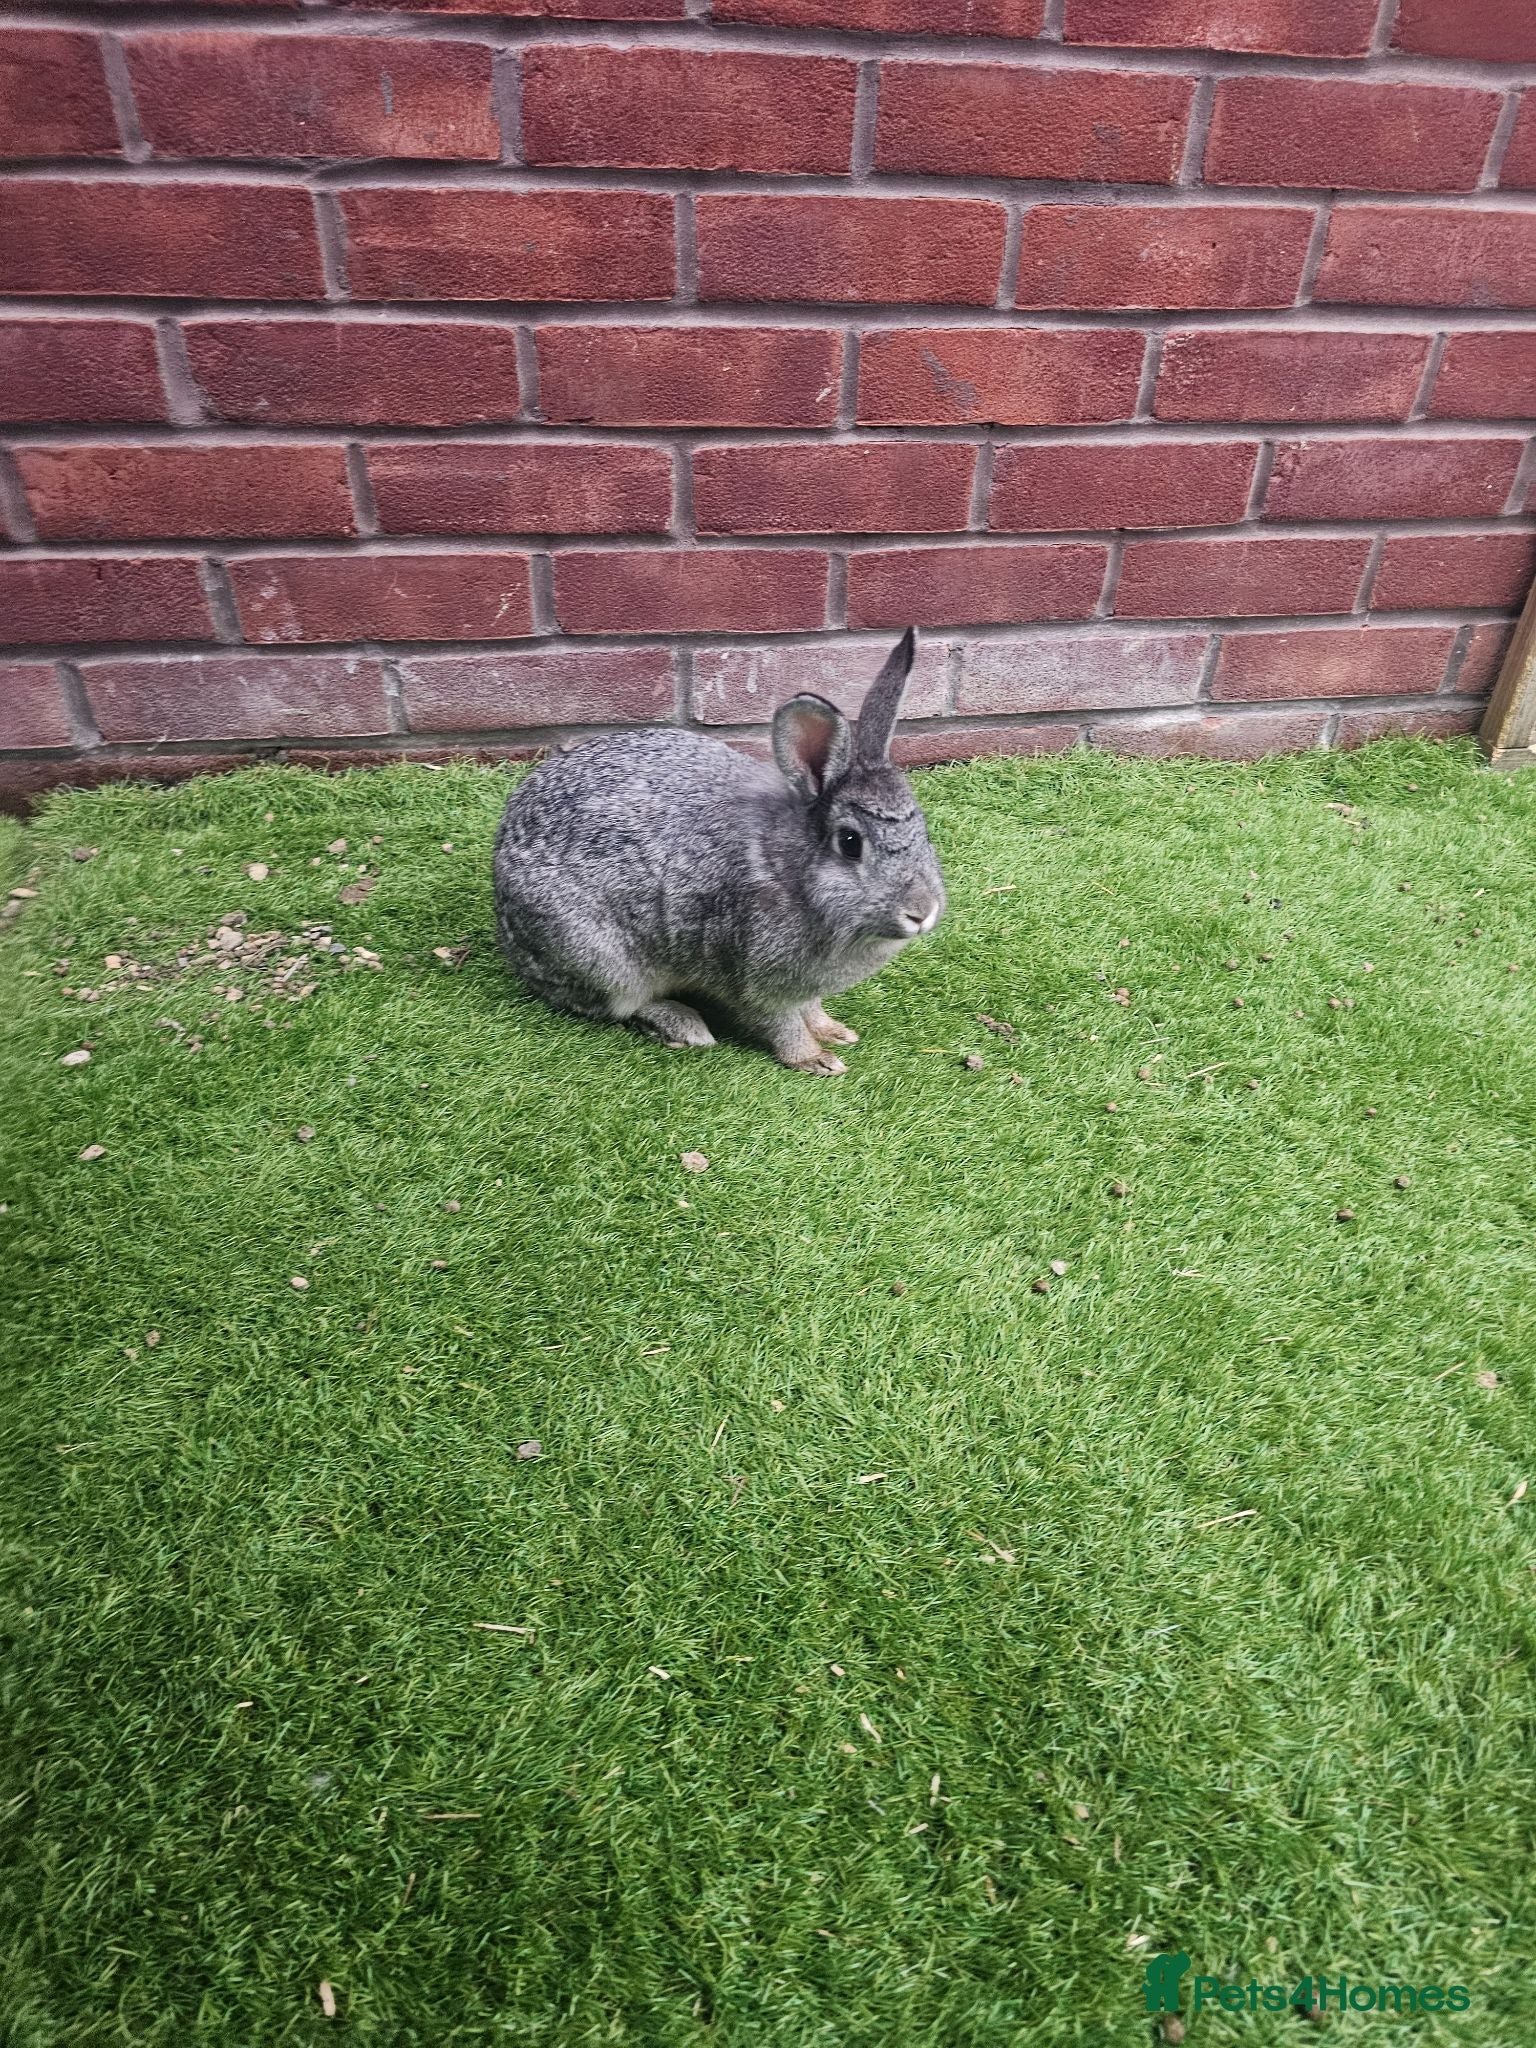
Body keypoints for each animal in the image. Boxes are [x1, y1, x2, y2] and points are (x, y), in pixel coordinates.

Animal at [492, 628, 946, 1074]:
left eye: (923, 830)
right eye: (850, 843)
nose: (922, 912)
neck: (790, 870)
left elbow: (811, 1009)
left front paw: (834, 1031)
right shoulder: (754, 978)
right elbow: (780, 1023)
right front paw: (814, 1059)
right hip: (602, 960)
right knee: (616, 1005)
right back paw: (685, 1025)